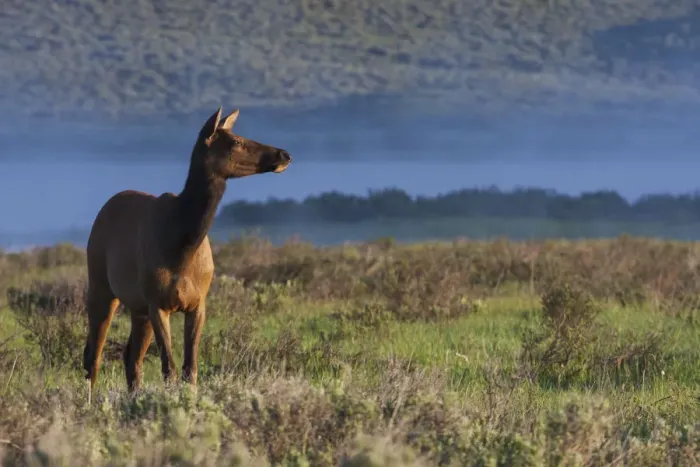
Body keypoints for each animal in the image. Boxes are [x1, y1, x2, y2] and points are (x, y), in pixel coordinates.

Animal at [82, 107, 291, 403]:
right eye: (235, 141)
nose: (283, 155)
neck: (182, 245)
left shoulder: (197, 304)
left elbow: (190, 369)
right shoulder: (159, 304)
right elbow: (169, 369)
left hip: (138, 308)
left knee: (131, 357)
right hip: (102, 288)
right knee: (93, 355)